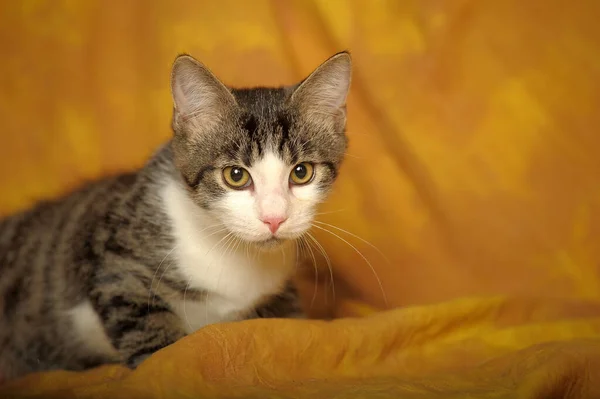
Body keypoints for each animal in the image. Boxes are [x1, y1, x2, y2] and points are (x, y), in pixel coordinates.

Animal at [0, 51, 352, 382]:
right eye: (235, 175)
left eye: (302, 172)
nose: (274, 218)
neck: (230, 251)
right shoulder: (113, 263)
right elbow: (152, 335)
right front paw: (169, 365)